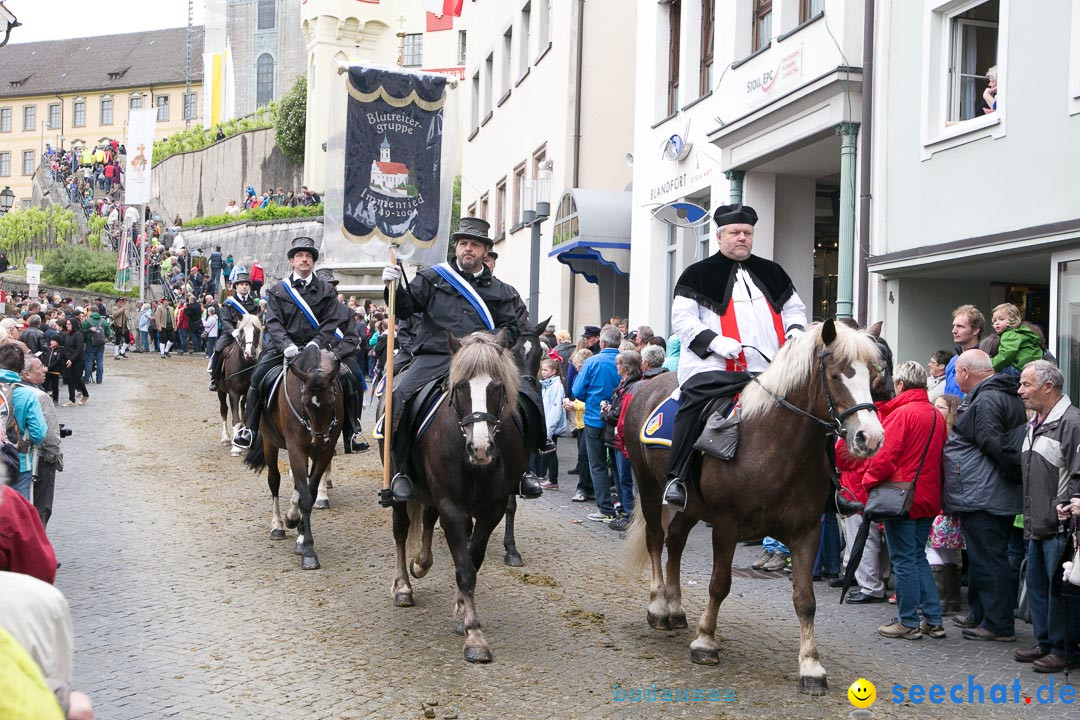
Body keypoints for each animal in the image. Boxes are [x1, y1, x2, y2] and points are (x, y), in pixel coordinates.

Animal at [217, 313, 261, 455]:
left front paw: (243, 441)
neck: (245, 366)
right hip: (220, 391)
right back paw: (225, 438)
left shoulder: (248, 392)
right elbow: (235, 420)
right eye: (241, 331)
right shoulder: (233, 393)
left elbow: (245, 416)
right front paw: (235, 448)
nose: (249, 353)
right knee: (224, 410)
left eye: (257, 331)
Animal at [245, 345, 341, 569]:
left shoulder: (325, 453)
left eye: (332, 401)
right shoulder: (296, 449)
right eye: (304, 403)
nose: (319, 441)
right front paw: (308, 551)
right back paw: (278, 525)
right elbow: (304, 496)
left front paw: (300, 534)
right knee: (274, 480)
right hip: (270, 443)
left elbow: (309, 493)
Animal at [388, 330, 527, 660]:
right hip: (401, 487)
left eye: (497, 386)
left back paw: (422, 562)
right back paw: (403, 586)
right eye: (461, 386)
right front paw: (474, 635)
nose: (481, 449)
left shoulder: (492, 508)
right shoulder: (451, 505)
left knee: (427, 518)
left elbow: (472, 561)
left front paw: (462, 612)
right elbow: (464, 569)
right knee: (401, 530)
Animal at [626, 319, 885, 690]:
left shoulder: (806, 531)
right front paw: (705, 641)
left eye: (875, 378)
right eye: (836, 375)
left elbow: (805, 600)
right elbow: (719, 584)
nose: (871, 438)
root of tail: (648, 384)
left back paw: (675, 608)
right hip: (649, 486)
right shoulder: (726, 525)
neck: (776, 446)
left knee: (675, 540)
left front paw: (811, 666)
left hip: (692, 506)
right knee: (655, 539)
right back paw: (659, 607)